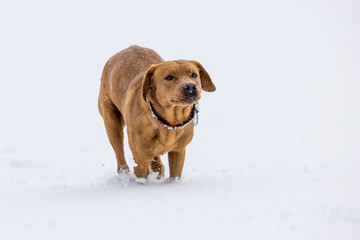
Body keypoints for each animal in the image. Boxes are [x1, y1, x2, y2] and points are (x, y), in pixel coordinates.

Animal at [98, 46, 215, 179]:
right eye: (169, 77)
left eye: (194, 75)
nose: (190, 86)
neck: (170, 122)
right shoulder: (140, 159)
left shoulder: (178, 151)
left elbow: (175, 174)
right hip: (111, 121)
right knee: (119, 151)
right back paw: (124, 172)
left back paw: (157, 168)